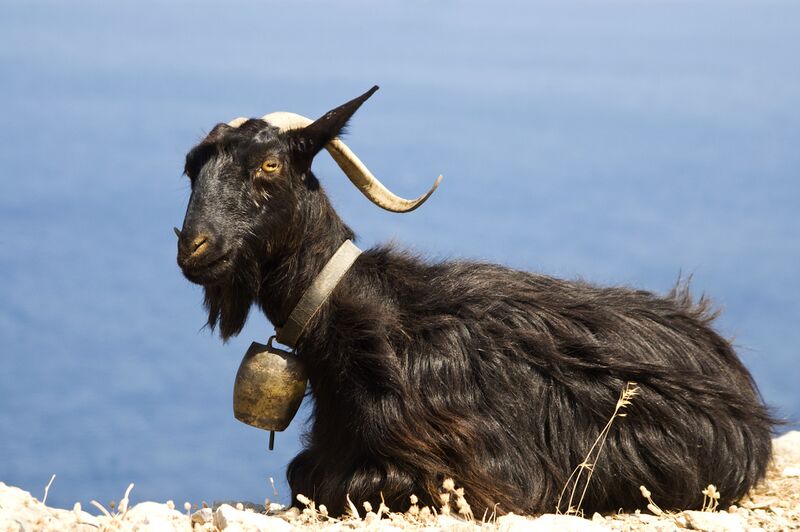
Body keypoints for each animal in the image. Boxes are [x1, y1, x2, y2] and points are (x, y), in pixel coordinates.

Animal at [176, 86, 774, 516]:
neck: (349, 310)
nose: (193, 248)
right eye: (191, 167)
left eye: (270, 165)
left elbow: (340, 484)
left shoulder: (467, 470)